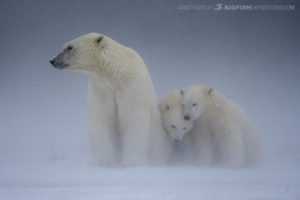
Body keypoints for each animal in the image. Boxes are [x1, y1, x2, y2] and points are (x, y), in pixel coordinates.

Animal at [50, 32, 170, 166]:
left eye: (69, 47)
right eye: (64, 46)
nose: (52, 60)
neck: (115, 74)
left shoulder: (131, 86)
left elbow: (132, 120)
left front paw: (132, 162)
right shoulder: (101, 90)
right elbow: (102, 121)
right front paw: (105, 162)